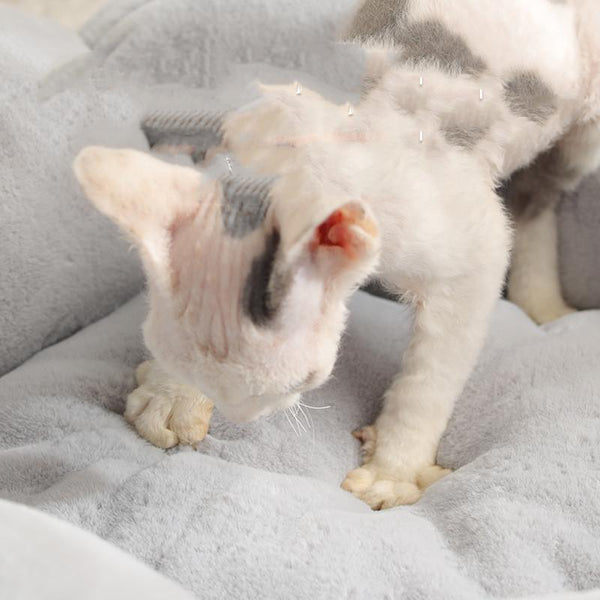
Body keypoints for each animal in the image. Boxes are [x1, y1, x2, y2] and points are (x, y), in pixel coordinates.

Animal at [75, 0, 600, 510]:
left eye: (296, 383)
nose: (241, 415)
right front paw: (171, 395)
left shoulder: (471, 249)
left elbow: (430, 378)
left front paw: (394, 469)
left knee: (538, 197)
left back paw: (543, 303)